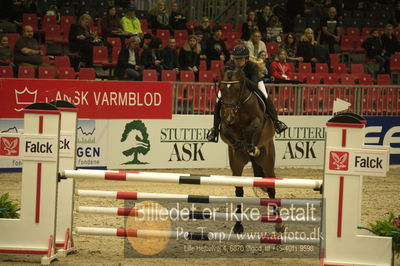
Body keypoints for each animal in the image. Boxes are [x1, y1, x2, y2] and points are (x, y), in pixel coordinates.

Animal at [217, 66, 280, 233]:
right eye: (221, 89)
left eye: (237, 89)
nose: (229, 116)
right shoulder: (224, 126)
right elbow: (226, 131)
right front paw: (239, 144)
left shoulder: (258, 121)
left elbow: (253, 127)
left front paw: (250, 145)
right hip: (237, 164)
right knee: (239, 191)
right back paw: (238, 225)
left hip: (267, 161)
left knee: (271, 189)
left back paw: (278, 224)